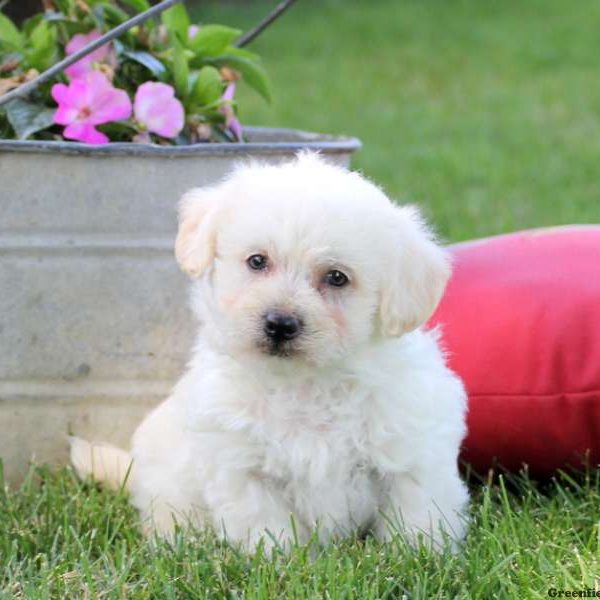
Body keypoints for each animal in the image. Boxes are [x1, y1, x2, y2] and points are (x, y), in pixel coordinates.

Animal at [71, 152, 468, 552]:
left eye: (337, 277)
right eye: (257, 261)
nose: (280, 324)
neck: (307, 383)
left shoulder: (413, 452)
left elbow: (416, 513)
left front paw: (421, 554)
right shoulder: (242, 466)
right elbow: (266, 526)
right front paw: (281, 559)